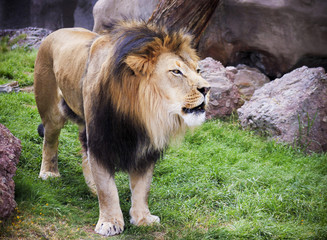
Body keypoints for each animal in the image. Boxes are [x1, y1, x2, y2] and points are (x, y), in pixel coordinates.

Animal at [34, 20, 210, 236]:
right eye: (176, 72)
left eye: (198, 70)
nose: (206, 88)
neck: (140, 113)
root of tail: (56, 32)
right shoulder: (100, 140)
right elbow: (107, 189)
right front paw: (110, 222)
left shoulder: (146, 149)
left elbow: (143, 188)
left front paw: (143, 218)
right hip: (51, 110)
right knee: (50, 141)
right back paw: (49, 173)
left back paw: (91, 187)